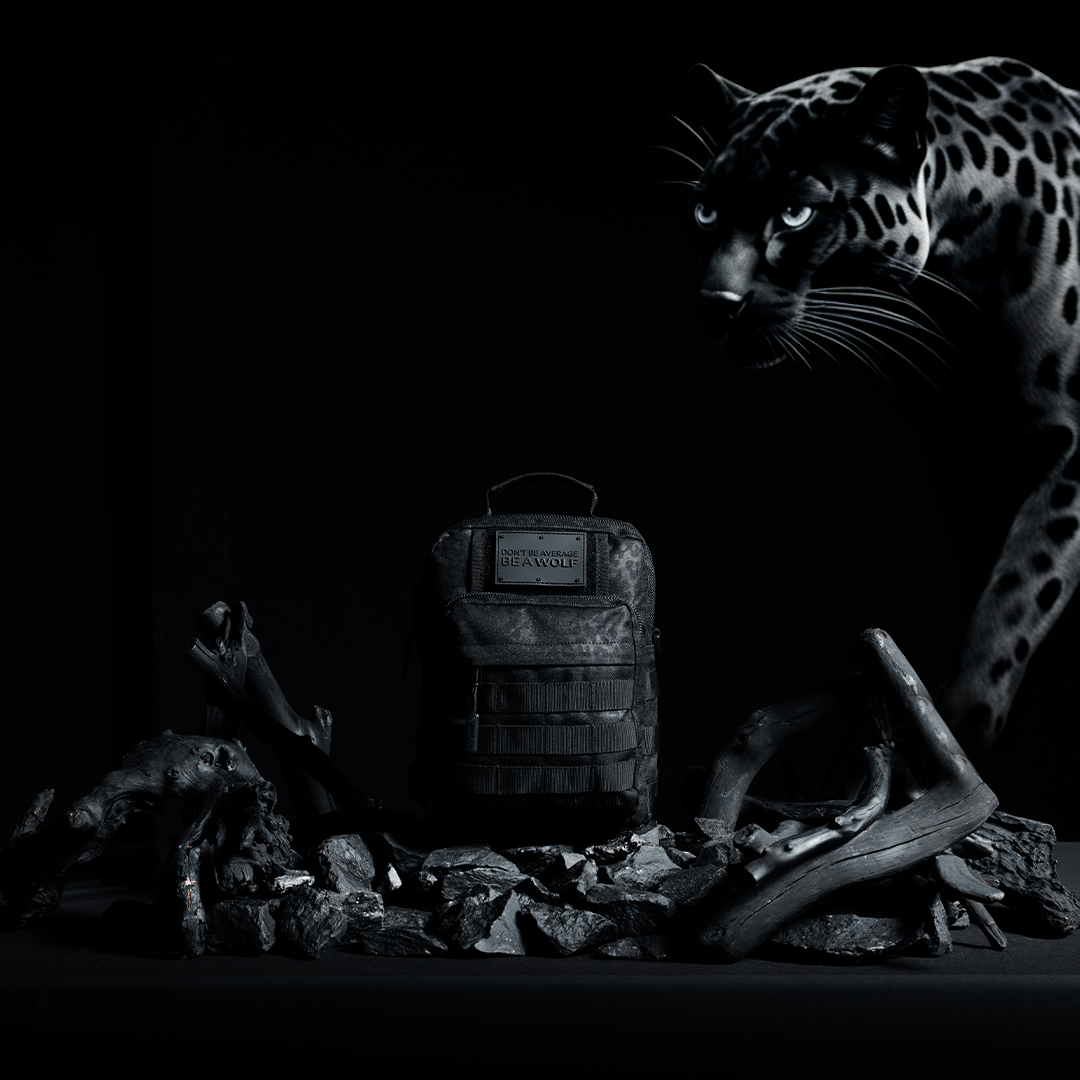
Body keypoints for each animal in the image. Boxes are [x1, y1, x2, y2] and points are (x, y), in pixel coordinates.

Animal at [665, 57, 1079, 759]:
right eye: (705, 210)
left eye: (796, 214)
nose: (716, 303)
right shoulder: (966, 460)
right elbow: (988, 583)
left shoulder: (1067, 451)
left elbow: (1019, 588)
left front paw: (956, 732)